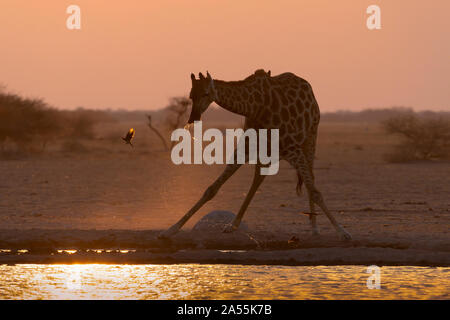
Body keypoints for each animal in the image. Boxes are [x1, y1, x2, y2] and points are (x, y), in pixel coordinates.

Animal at [160, 70, 354, 240]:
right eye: (191, 95)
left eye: (206, 93)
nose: (193, 118)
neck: (254, 107)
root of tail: (307, 87)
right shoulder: (246, 147)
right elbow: (211, 189)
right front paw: (170, 230)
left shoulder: (293, 149)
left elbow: (315, 191)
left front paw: (343, 232)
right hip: (269, 150)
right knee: (258, 179)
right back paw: (233, 225)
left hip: (310, 137)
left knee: (310, 179)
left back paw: (314, 227)